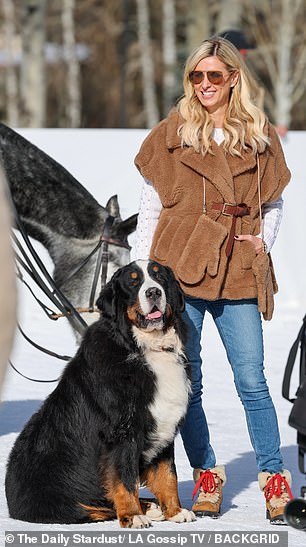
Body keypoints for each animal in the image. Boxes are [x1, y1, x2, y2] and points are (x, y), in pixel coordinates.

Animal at [4, 260, 195, 528]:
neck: (143, 347)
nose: (153, 292)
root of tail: (10, 502)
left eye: (159, 277)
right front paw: (133, 516)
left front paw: (175, 511)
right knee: (93, 508)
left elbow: (168, 475)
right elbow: (124, 480)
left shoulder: (165, 427)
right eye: (133, 282)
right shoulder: (121, 433)